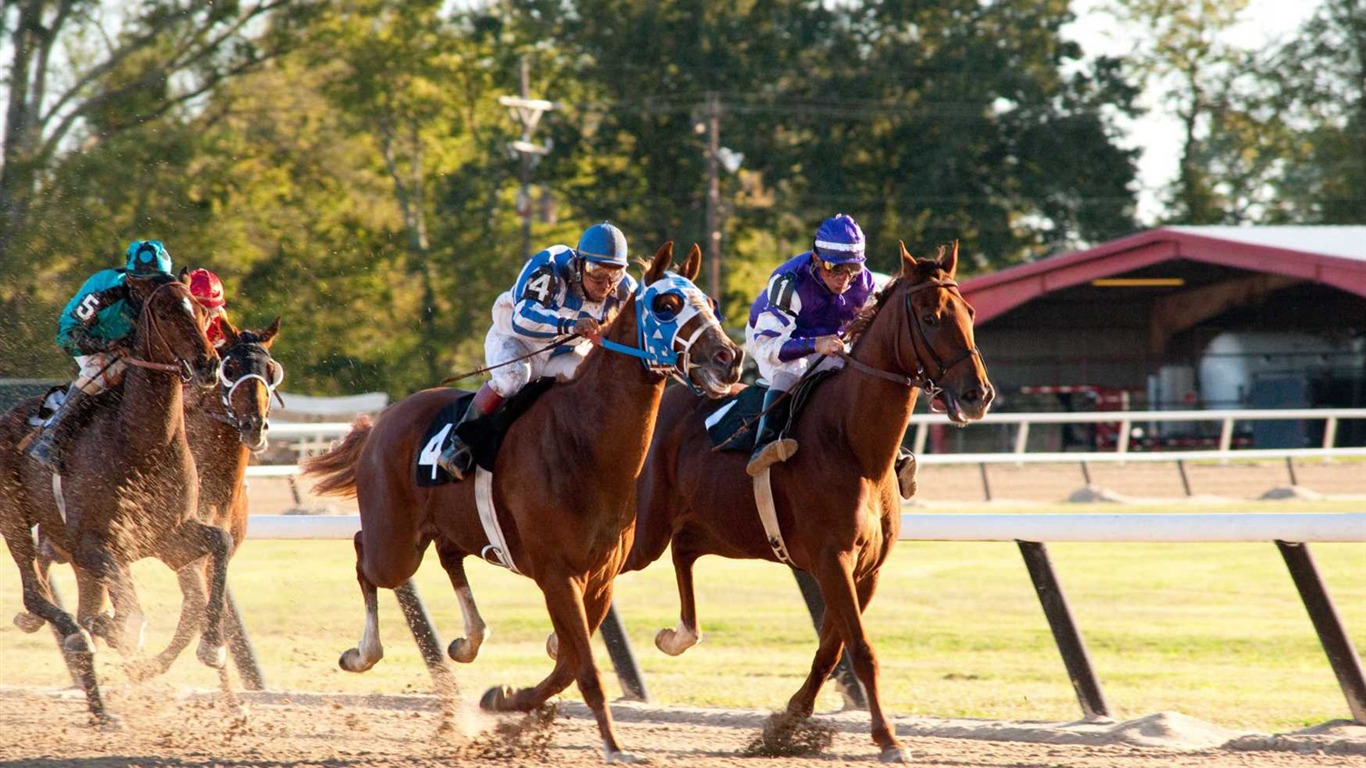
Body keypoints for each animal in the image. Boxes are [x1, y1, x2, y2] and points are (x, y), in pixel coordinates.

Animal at [0, 270, 222, 721]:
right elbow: (128, 619)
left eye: (201, 309)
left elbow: (220, 543)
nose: (208, 364)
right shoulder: (97, 546)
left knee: (79, 609)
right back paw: (76, 638)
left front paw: (212, 646)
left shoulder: (168, 537)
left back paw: (102, 711)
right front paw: (118, 634)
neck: (141, 443)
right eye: (164, 311)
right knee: (37, 595)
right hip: (14, 519)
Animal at [304, 243, 743, 759]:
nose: (730, 357)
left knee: (448, 555)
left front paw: (506, 699)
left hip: (450, 527)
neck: (585, 442)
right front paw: (613, 745)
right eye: (667, 304)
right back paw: (362, 653)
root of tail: (381, 421)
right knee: (364, 555)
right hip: (395, 544)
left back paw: (469, 640)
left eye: (710, 303)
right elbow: (584, 666)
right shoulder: (558, 574)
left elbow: (569, 664)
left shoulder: (599, 579)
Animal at [622, 240, 994, 759]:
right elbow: (861, 649)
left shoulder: (866, 570)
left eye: (970, 312)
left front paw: (788, 722)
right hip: (644, 530)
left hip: (709, 527)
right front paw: (888, 738)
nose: (977, 394)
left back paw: (678, 635)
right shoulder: (831, 558)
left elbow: (832, 649)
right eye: (930, 316)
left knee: (683, 555)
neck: (854, 443)